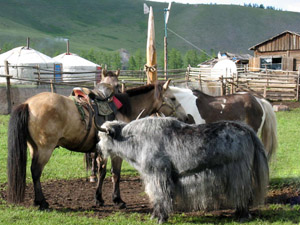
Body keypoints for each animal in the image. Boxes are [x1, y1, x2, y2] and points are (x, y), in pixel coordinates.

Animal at [7, 80, 188, 209]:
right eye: (173, 98)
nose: (186, 117)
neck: (124, 110)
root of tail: (28, 104)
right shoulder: (116, 152)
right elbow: (116, 174)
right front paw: (118, 200)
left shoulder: (102, 151)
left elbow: (102, 172)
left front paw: (99, 198)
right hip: (45, 149)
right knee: (36, 172)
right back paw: (42, 202)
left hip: (34, 148)